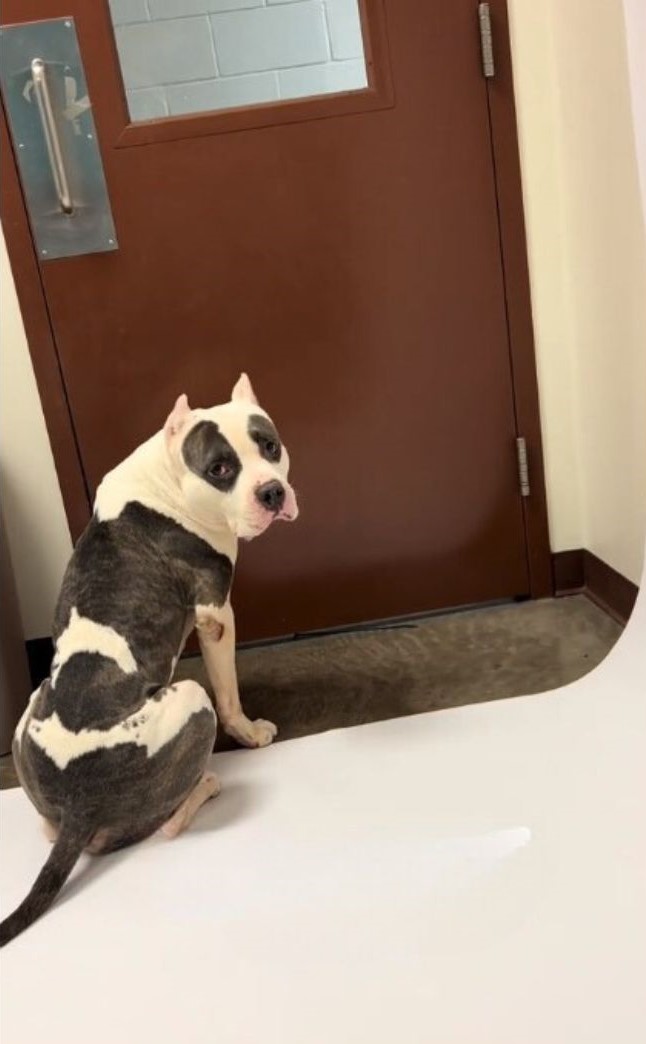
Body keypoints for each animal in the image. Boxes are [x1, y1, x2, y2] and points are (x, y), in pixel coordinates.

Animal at [0, 373, 298, 947]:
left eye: (269, 446)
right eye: (220, 469)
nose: (272, 492)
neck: (166, 478)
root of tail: (79, 802)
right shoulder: (216, 614)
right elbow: (230, 692)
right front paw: (250, 733)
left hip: (31, 710)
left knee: (49, 826)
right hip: (191, 700)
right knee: (167, 825)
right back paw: (203, 785)